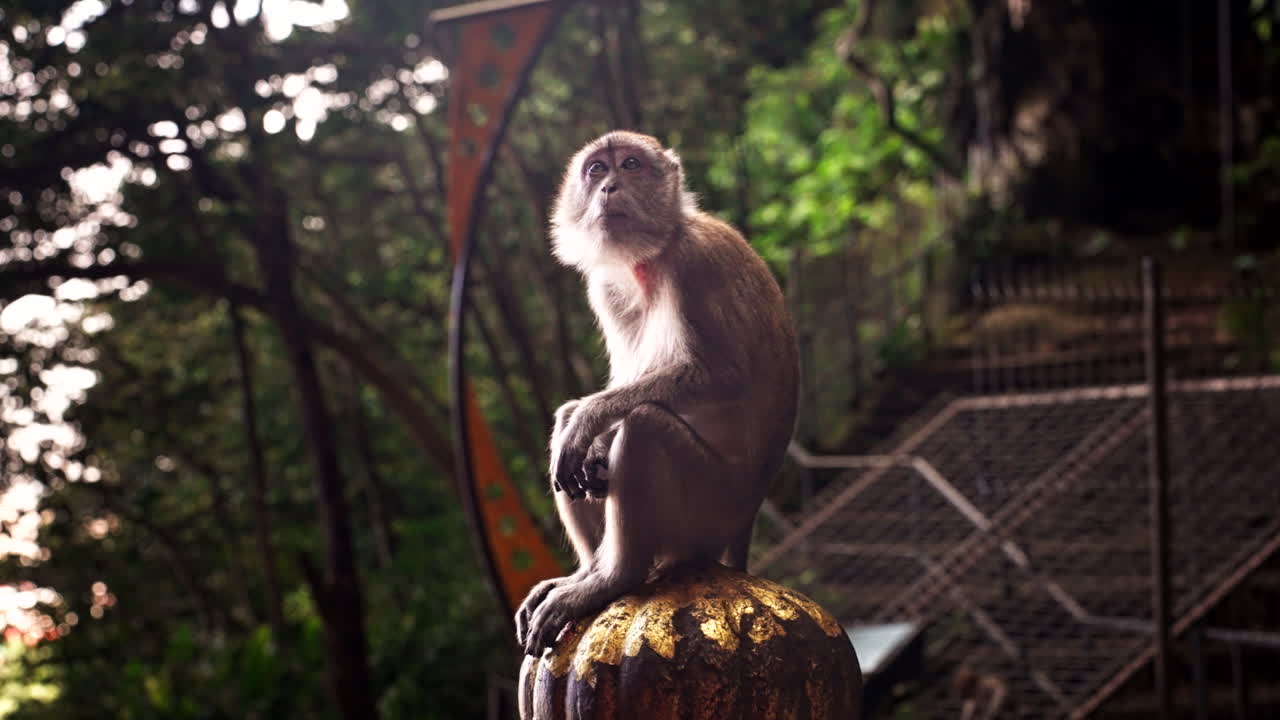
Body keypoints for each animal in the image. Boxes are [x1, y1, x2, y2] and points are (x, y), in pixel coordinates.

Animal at [514, 131, 798, 656]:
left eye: (630, 165)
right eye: (596, 170)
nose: (609, 187)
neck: (653, 256)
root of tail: (743, 525)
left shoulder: (694, 262)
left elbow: (723, 374)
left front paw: (591, 423)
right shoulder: (605, 287)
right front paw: (589, 434)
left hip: (707, 513)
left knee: (644, 425)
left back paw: (614, 577)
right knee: (574, 429)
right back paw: (586, 573)